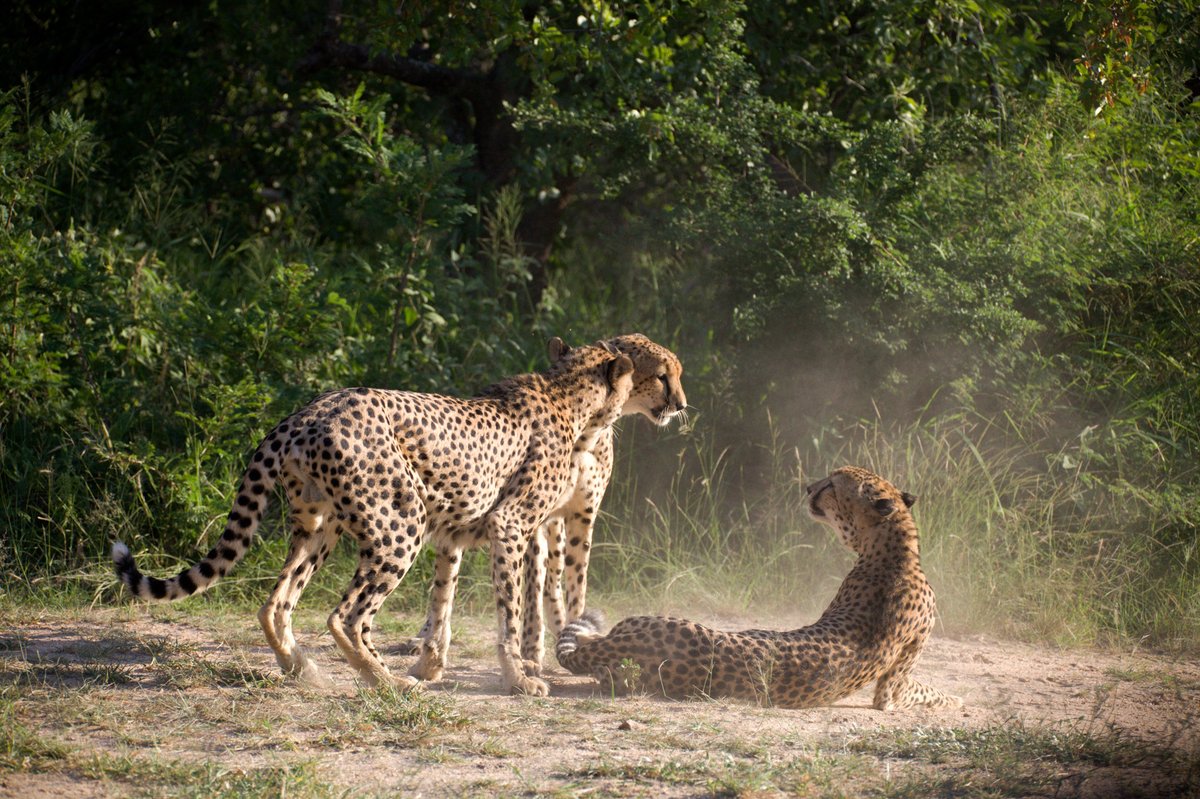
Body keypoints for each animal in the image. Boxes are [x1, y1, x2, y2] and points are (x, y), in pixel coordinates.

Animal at [111, 340, 634, 696]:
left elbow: (445, 601)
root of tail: (304, 413)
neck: (568, 395)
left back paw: (303, 669)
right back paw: (388, 682)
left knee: (276, 603)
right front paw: (520, 680)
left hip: (318, 527)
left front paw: (442, 663)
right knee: (346, 616)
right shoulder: (510, 525)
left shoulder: (458, 531)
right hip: (400, 526)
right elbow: (509, 613)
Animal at [405, 333, 687, 683]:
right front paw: (529, 652)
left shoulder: (582, 514)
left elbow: (575, 582)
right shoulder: (530, 518)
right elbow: (529, 591)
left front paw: (575, 634)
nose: (681, 405)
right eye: (662, 376)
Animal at [555, 466, 963, 711]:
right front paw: (955, 699)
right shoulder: (893, 687)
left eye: (833, 485)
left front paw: (952, 699)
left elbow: (921, 690)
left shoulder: (890, 689)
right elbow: (924, 689)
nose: (809, 487)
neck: (896, 551)